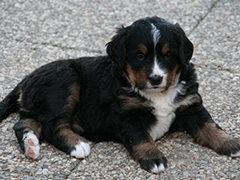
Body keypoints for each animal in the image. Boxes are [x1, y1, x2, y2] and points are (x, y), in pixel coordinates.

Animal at [0, 16, 240, 173]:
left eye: (168, 55)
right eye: (140, 56)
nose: (156, 78)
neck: (157, 93)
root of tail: (26, 78)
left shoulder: (190, 105)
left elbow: (209, 126)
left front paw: (230, 144)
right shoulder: (126, 114)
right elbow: (140, 137)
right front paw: (154, 158)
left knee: (24, 123)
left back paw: (31, 145)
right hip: (66, 79)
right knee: (52, 125)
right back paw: (77, 145)